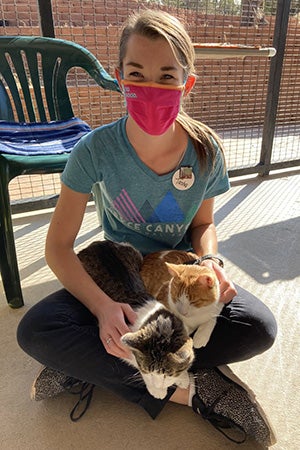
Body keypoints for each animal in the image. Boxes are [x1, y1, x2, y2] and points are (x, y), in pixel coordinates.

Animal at [77, 241, 195, 400]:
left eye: (167, 374)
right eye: (149, 371)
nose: (158, 385)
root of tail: (97, 243)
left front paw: (182, 377)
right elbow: (135, 361)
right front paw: (157, 390)